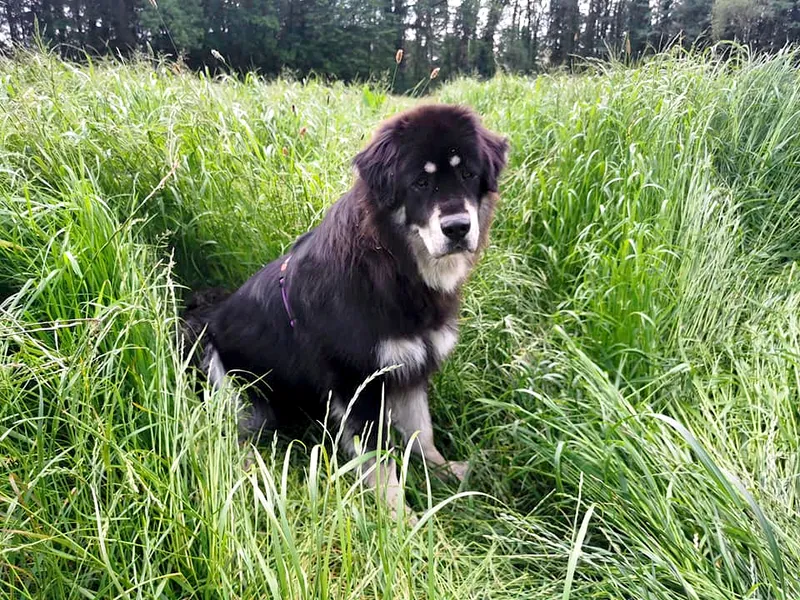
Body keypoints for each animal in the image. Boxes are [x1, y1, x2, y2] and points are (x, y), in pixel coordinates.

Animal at [182, 103, 509, 518]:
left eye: (468, 174)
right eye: (420, 182)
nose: (457, 228)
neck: (394, 266)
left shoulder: (411, 367)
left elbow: (421, 433)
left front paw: (443, 472)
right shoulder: (359, 383)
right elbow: (381, 463)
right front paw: (401, 521)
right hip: (232, 387)